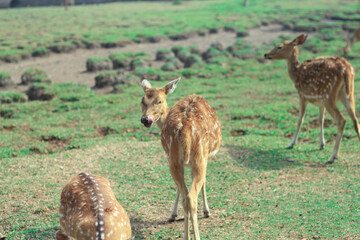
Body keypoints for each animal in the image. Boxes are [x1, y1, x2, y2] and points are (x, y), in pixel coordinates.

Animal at [141, 78, 222, 239]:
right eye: (142, 101)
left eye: (159, 101)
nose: (145, 119)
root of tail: (185, 128)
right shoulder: (204, 158)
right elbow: (203, 182)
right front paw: (207, 211)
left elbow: (181, 187)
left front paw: (173, 215)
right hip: (199, 155)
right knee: (191, 197)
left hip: (175, 159)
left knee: (186, 196)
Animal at [264, 33, 360, 164]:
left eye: (279, 46)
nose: (266, 54)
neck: (296, 74)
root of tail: (346, 69)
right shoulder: (320, 101)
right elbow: (320, 119)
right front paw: (321, 144)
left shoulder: (302, 94)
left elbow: (300, 119)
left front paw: (291, 144)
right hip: (347, 94)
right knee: (355, 119)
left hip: (328, 94)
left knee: (341, 120)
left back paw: (332, 157)